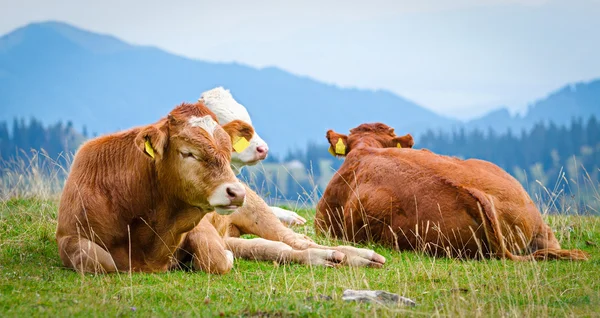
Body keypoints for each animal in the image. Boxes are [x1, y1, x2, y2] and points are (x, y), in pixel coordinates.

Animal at [55, 102, 254, 274]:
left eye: (228, 153)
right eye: (188, 153)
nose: (236, 193)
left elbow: (216, 259)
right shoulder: (68, 235)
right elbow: (101, 261)